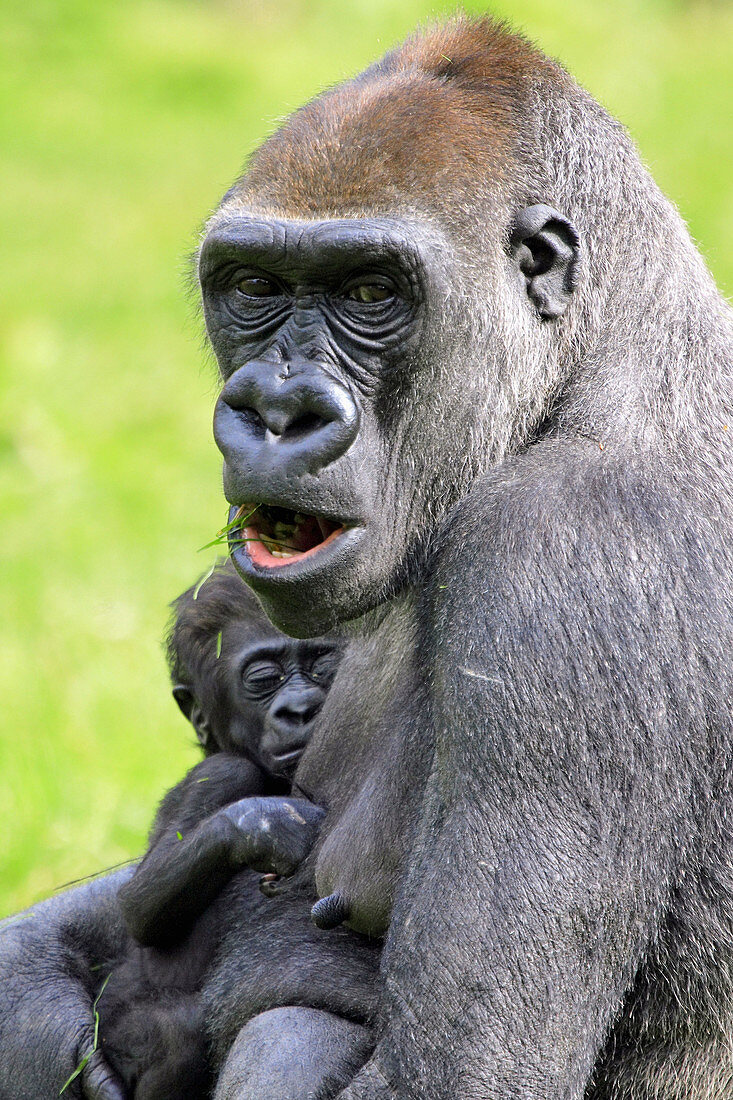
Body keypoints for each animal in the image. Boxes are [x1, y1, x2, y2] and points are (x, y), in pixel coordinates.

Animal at [94, 563, 374, 1100]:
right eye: (263, 679)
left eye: (322, 663)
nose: (300, 708)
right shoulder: (222, 772)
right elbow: (139, 907)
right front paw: (265, 827)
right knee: (177, 1032)